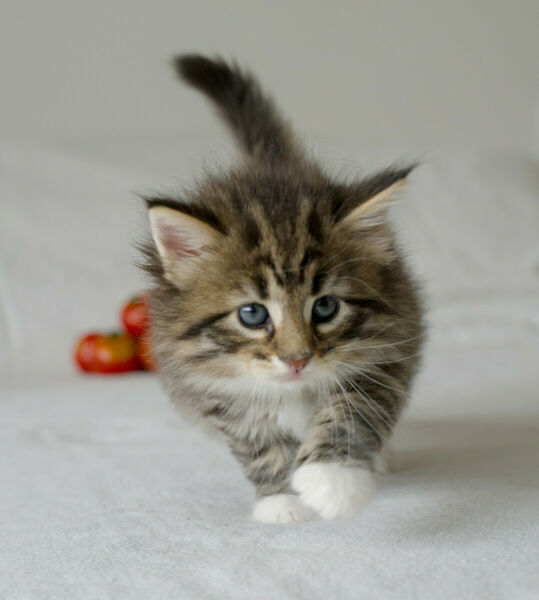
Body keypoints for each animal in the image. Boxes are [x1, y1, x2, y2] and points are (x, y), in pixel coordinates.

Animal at [142, 54, 426, 524]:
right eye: (252, 314)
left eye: (325, 307)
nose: (297, 360)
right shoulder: (216, 389)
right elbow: (258, 446)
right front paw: (281, 500)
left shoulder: (387, 351)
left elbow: (355, 411)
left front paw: (333, 481)